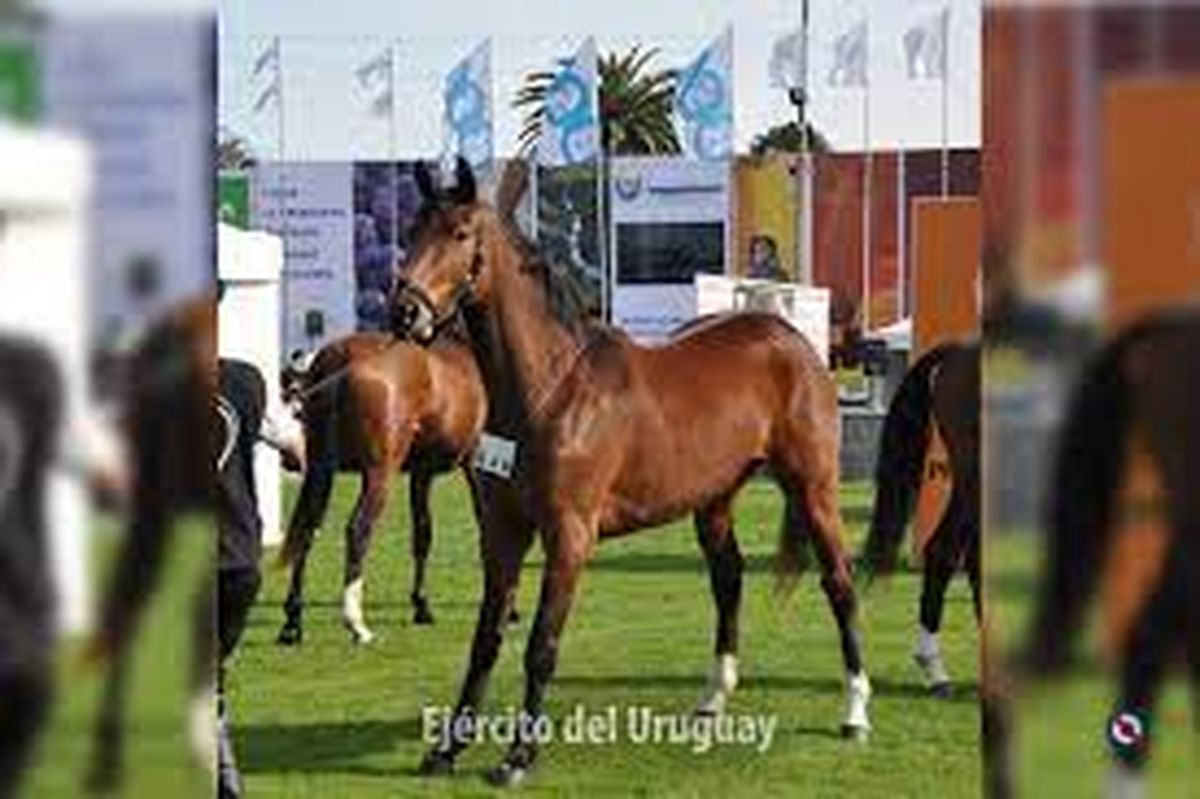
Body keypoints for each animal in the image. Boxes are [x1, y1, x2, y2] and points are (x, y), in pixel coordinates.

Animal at [276, 326, 487, 643]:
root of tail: (341, 356)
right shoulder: (477, 464)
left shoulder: (422, 472)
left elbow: (422, 533)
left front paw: (421, 606)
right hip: (379, 474)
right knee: (358, 529)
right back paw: (356, 623)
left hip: (322, 470)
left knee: (309, 528)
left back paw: (293, 621)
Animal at [393, 160, 873, 782]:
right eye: (412, 230)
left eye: (459, 234)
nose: (404, 312)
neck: (550, 389)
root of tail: (790, 340)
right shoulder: (502, 534)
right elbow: (485, 641)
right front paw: (448, 747)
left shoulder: (569, 536)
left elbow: (541, 645)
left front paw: (518, 756)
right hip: (714, 500)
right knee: (728, 580)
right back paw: (712, 701)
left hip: (813, 488)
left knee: (839, 582)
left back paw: (855, 711)